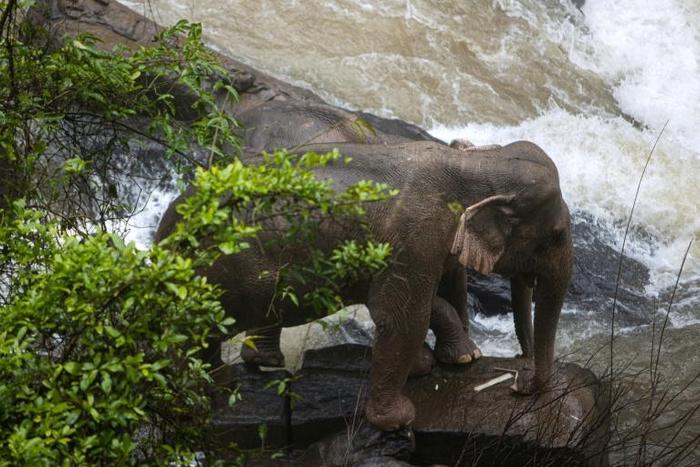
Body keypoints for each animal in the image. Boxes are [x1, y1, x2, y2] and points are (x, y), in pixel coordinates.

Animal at [155, 139, 573, 431]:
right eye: (554, 234)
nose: (518, 384)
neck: (477, 164)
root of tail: (166, 228)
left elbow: (428, 299)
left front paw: (448, 361)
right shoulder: (415, 236)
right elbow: (401, 315)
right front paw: (399, 419)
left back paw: (239, 374)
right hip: (226, 270)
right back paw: (203, 394)